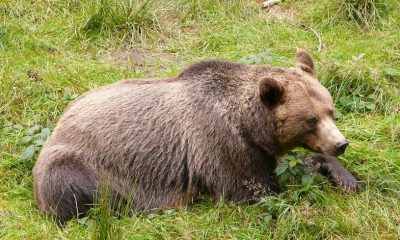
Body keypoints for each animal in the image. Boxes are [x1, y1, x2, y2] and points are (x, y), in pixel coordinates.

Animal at [32, 49, 358, 225]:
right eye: (310, 120)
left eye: (330, 111)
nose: (340, 144)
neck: (250, 125)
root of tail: (59, 122)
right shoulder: (222, 145)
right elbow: (255, 191)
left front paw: (345, 177)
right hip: (79, 164)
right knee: (87, 192)